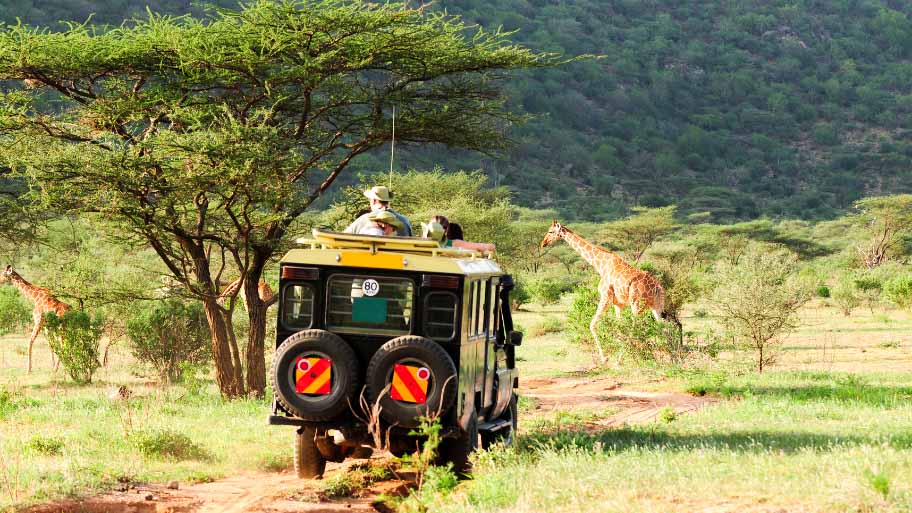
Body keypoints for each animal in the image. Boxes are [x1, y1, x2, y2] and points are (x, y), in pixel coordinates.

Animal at [536, 222, 668, 362]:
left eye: (550, 232)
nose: (543, 243)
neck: (601, 265)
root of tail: (657, 287)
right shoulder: (618, 304)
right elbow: (619, 327)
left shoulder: (606, 297)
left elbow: (592, 325)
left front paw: (605, 358)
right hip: (656, 306)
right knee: (663, 327)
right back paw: (668, 357)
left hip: (636, 304)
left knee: (636, 327)